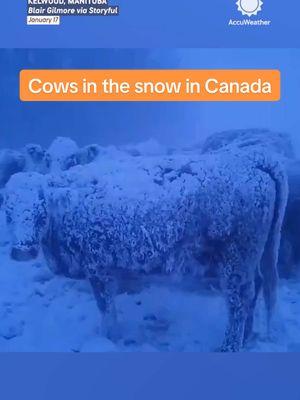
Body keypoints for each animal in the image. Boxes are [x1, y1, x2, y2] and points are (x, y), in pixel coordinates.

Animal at [4, 148, 288, 352]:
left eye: (40, 210)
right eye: (7, 211)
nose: (21, 250)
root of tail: (251, 159)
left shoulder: (98, 270)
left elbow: (106, 309)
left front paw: (108, 338)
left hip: (235, 262)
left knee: (239, 299)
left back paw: (229, 346)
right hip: (251, 260)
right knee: (256, 288)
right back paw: (247, 337)